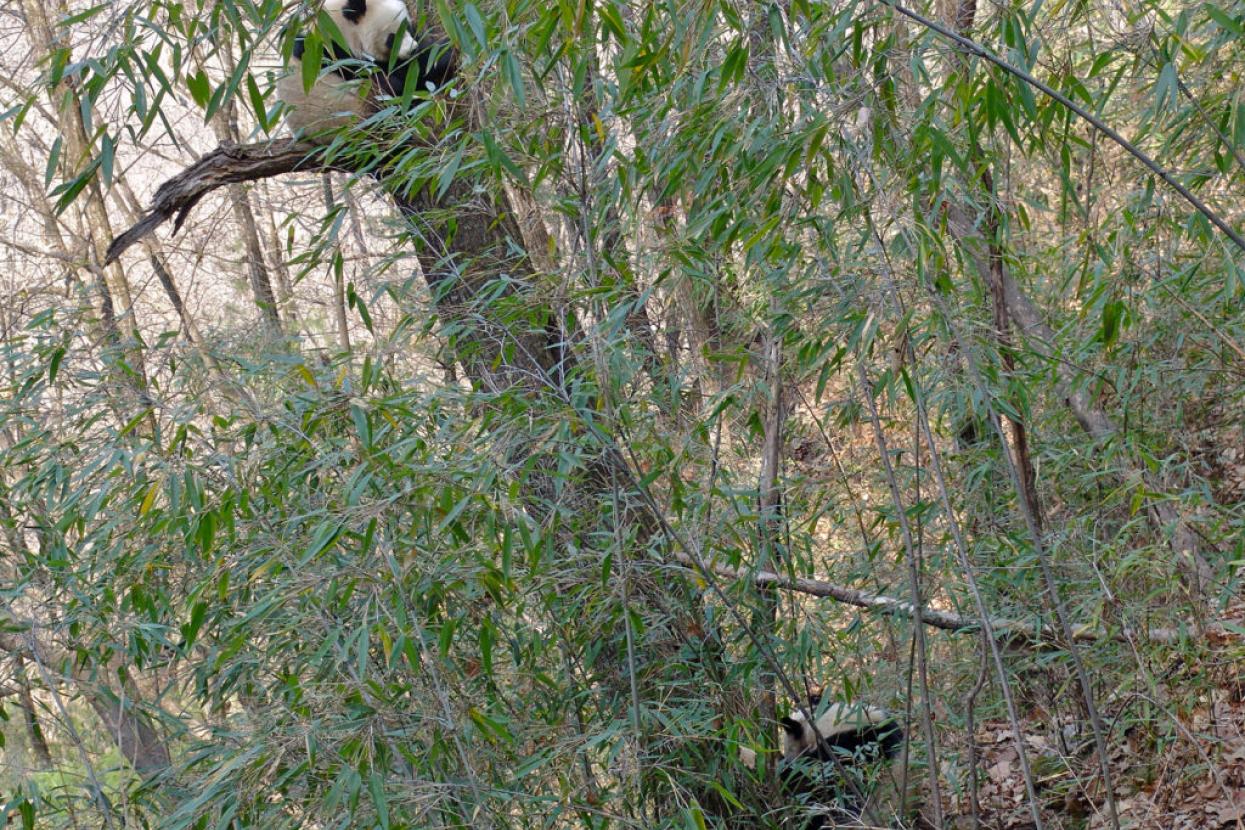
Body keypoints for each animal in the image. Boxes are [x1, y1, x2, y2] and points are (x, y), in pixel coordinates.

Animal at [276, 0, 456, 142]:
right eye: (392, 38)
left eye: (409, 28)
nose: (413, 49)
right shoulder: (333, 56)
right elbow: (399, 75)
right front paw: (442, 53)